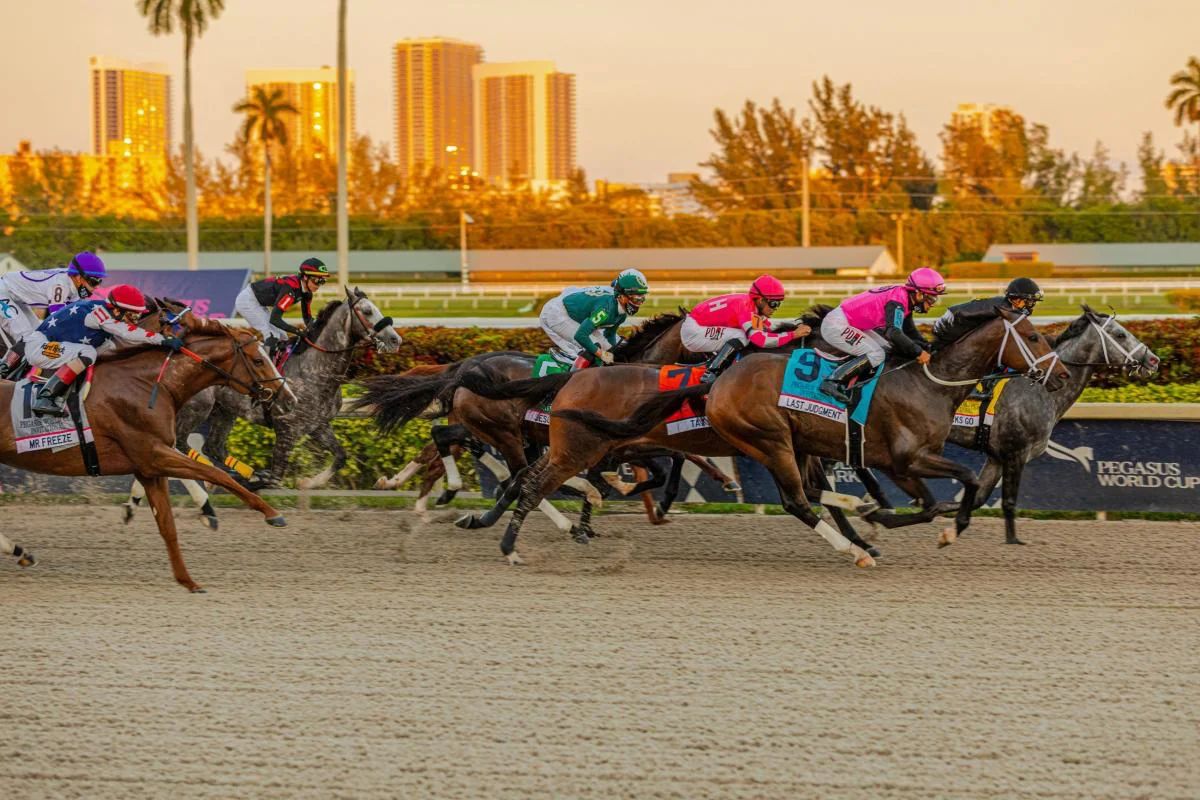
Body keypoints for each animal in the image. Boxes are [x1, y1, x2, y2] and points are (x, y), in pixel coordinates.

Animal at [0, 316, 297, 592]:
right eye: (258, 360)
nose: (289, 399)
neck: (150, 384)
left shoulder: (149, 470)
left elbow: (168, 526)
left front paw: (188, 581)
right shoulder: (153, 454)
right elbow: (216, 474)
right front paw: (272, 513)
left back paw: (21, 552)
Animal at [945, 307, 1161, 544]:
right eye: (1120, 334)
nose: (1153, 360)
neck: (1040, 390)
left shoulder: (996, 458)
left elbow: (977, 498)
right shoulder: (1016, 453)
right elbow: (1008, 502)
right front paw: (1013, 540)